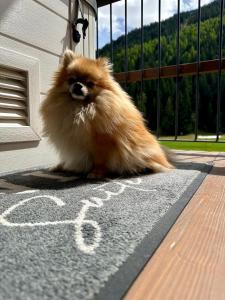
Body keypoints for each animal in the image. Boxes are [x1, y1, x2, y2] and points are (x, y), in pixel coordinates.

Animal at [40, 49, 173, 178]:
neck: (80, 108)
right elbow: (70, 158)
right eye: (71, 80)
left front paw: (97, 173)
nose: (78, 85)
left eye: (90, 83)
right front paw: (61, 166)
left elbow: (100, 161)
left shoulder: (102, 142)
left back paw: (144, 168)